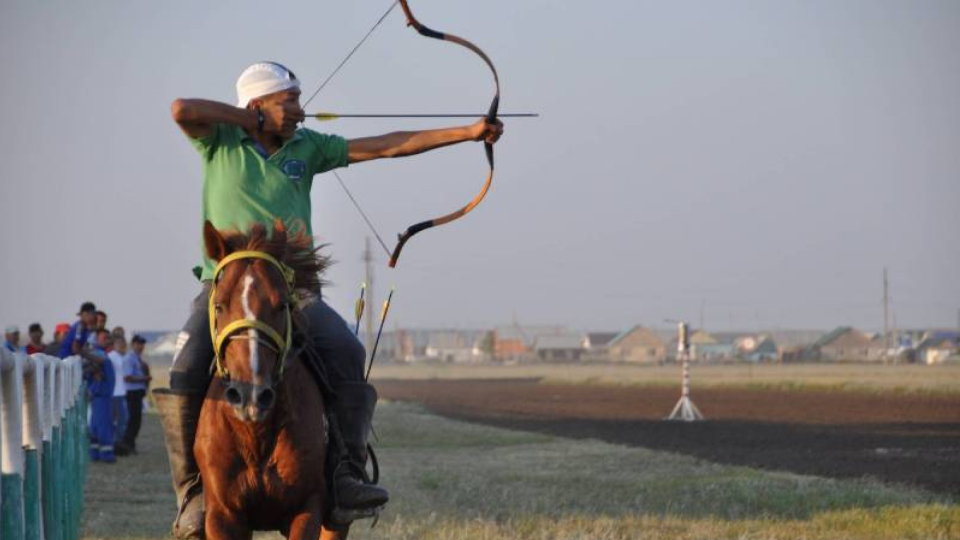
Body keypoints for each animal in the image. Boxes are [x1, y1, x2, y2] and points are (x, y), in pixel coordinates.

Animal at [195, 220, 344, 540]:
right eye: (220, 306)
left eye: (281, 305)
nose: (250, 395)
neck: (255, 435)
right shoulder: (223, 516)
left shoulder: (307, 508)